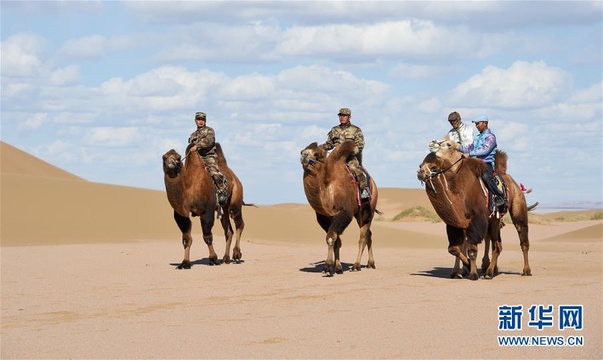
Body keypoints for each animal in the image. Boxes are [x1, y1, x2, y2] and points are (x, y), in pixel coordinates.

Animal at [300, 141, 380, 276]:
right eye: (302, 151)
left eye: (316, 154)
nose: (303, 156)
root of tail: (374, 185)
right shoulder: (325, 217)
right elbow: (336, 240)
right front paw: (337, 267)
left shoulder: (344, 212)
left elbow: (331, 237)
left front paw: (328, 267)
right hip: (358, 214)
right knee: (369, 234)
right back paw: (371, 263)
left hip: (369, 210)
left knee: (363, 237)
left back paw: (356, 265)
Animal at [420, 136, 532, 280]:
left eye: (448, 144)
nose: (421, 171)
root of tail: (512, 182)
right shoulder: (457, 223)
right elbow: (454, 249)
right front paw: (463, 269)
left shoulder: (476, 219)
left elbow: (472, 250)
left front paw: (472, 273)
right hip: (494, 220)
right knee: (497, 245)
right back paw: (489, 271)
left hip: (518, 206)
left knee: (522, 237)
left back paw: (524, 270)